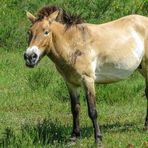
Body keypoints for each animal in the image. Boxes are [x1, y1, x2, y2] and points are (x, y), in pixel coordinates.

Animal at [24, 6, 148, 145]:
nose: (29, 57)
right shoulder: (70, 83)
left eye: (46, 32)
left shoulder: (88, 80)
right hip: (141, 68)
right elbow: (75, 109)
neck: (74, 45)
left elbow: (92, 111)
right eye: (29, 32)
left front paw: (98, 139)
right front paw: (74, 137)